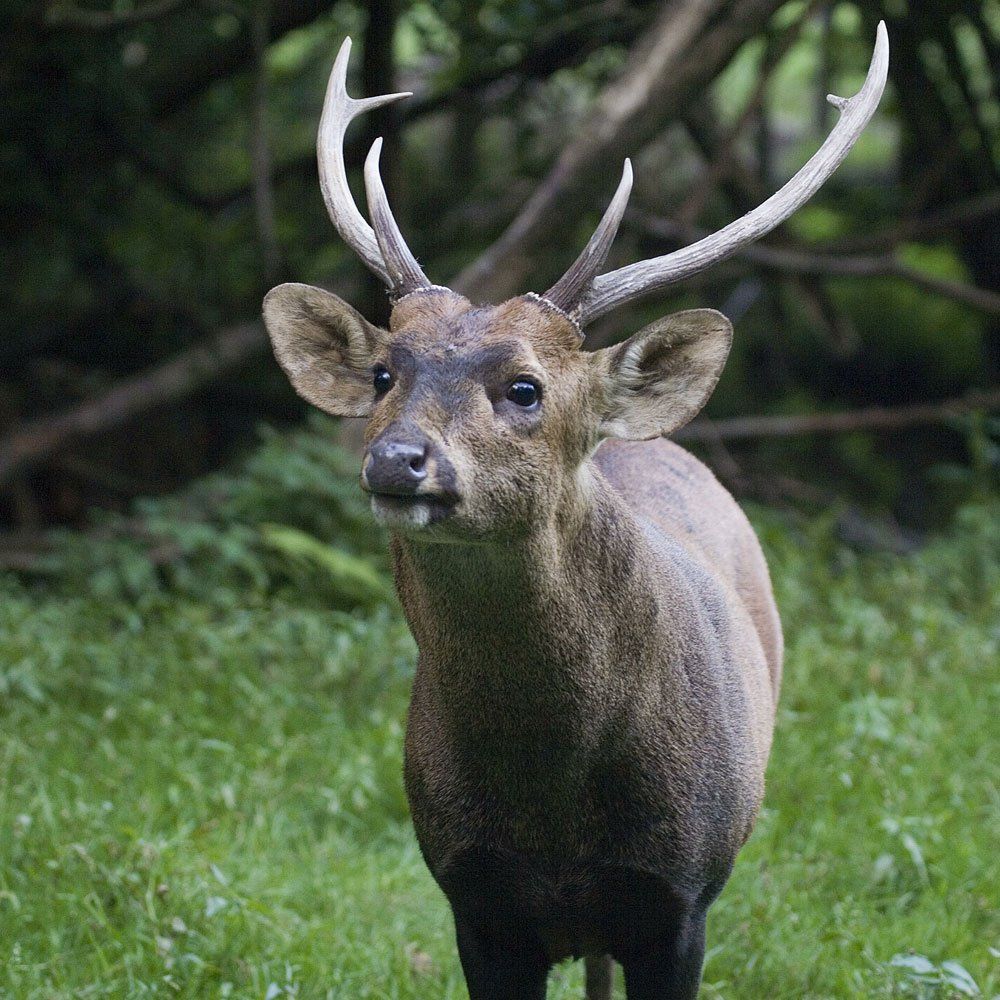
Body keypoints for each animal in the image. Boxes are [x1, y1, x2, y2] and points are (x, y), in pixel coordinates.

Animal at [262, 24, 888, 1000]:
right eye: (383, 372)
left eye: (525, 386)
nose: (397, 460)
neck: (553, 812)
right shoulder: (473, 898)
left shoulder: (679, 896)